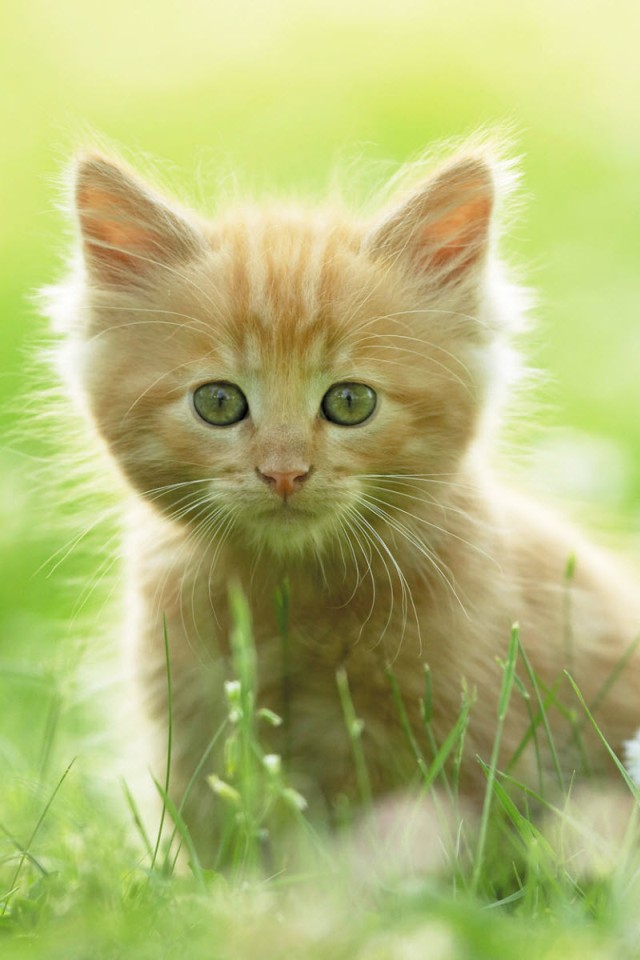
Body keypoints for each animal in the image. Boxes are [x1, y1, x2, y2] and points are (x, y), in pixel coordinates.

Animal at [48, 144, 640, 864]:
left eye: (351, 402)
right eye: (218, 402)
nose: (283, 472)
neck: (292, 595)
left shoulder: (470, 722)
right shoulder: (195, 717)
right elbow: (227, 848)